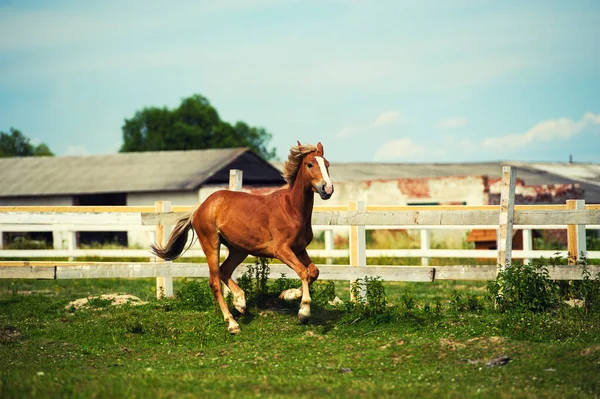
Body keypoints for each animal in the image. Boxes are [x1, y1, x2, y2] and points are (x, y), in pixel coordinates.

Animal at [150, 141, 336, 334]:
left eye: (327, 164)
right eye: (309, 164)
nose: (327, 189)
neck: (292, 209)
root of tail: (201, 206)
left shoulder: (299, 249)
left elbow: (313, 271)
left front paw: (287, 295)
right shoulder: (281, 250)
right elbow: (303, 272)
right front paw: (304, 312)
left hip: (239, 249)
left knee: (224, 271)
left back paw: (240, 302)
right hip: (211, 244)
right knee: (215, 281)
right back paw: (232, 323)